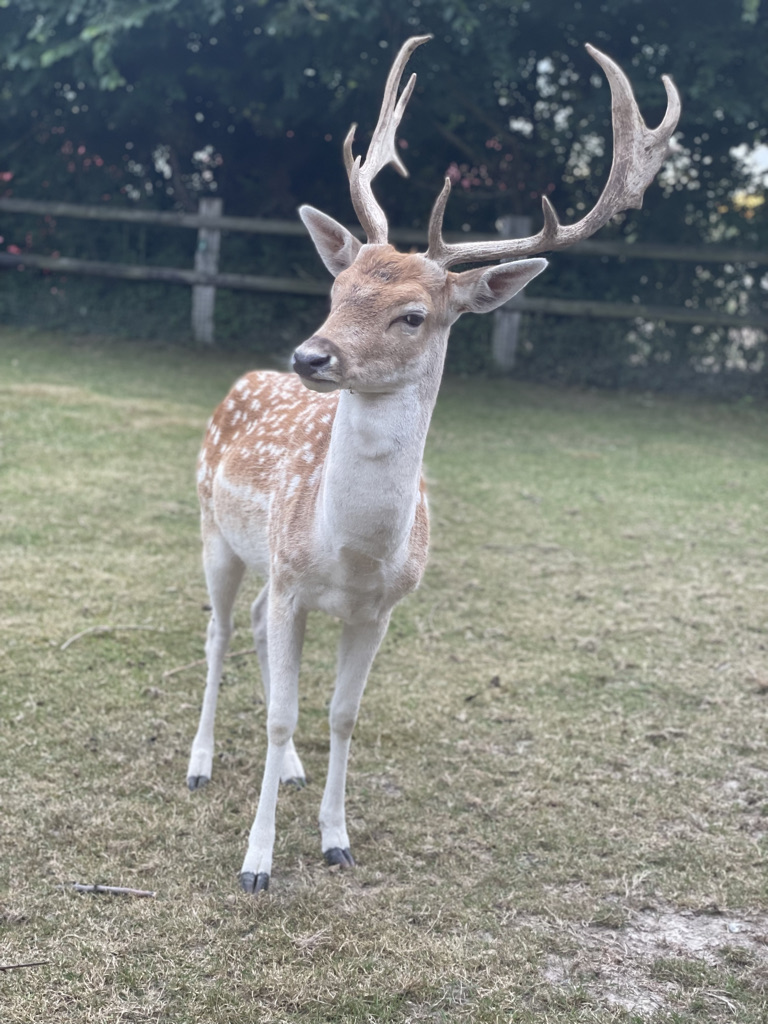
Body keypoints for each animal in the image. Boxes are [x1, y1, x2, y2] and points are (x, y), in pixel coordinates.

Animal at [187, 35, 680, 892]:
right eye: (337, 289)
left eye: (413, 315)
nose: (310, 355)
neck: (351, 552)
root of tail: (242, 380)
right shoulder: (291, 578)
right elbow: (283, 713)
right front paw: (256, 863)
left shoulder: (379, 608)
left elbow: (341, 714)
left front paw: (336, 839)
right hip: (215, 530)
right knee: (217, 633)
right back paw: (200, 763)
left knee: (248, 630)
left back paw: (291, 773)